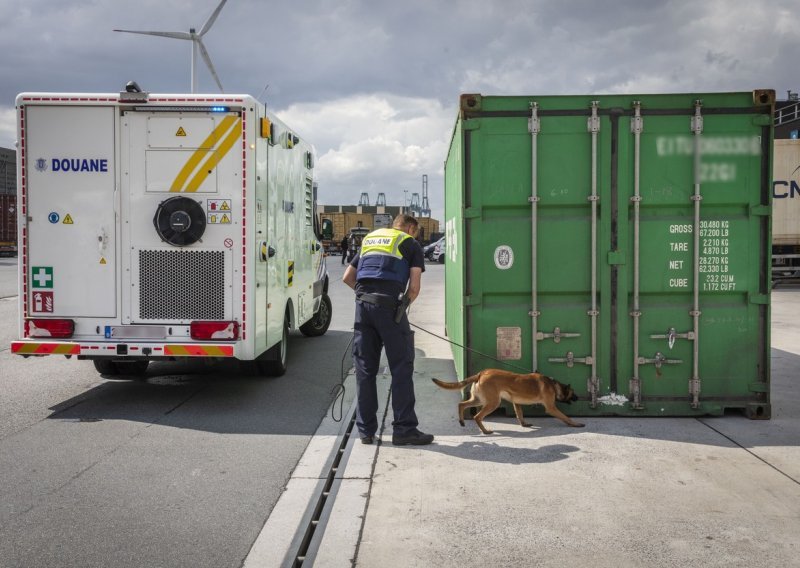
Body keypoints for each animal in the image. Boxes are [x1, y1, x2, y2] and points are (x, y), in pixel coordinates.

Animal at [434, 368, 584, 434]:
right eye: (573, 393)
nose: (578, 398)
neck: (553, 385)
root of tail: (481, 373)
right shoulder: (551, 408)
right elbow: (565, 417)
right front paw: (575, 424)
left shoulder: (516, 403)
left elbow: (520, 414)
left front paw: (524, 424)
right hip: (492, 403)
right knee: (477, 416)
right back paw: (485, 431)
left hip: (479, 400)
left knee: (461, 404)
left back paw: (462, 421)